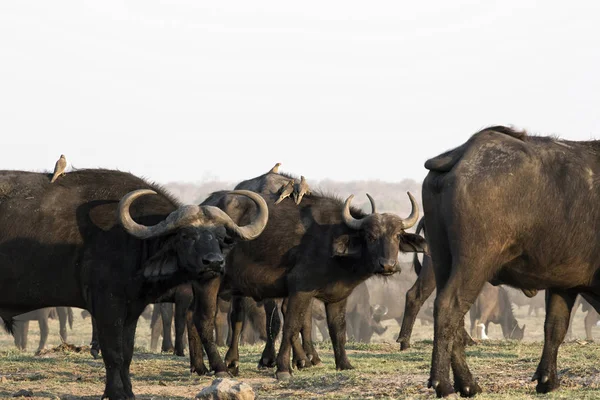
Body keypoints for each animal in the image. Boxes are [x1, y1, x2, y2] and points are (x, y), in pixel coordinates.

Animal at [422, 126, 600, 396]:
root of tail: (463, 153)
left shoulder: (563, 284)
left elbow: (555, 327)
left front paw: (547, 380)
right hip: (475, 262)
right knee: (448, 307)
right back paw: (444, 383)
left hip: (441, 259)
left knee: (455, 317)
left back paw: (467, 383)